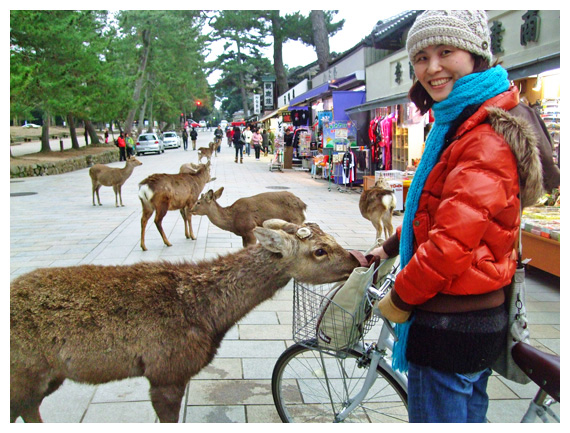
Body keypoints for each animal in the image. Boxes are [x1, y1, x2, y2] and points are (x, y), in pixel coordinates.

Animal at [10, 219, 360, 422]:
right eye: (319, 250)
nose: (358, 259)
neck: (209, 317)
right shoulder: (166, 371)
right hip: (24, 374)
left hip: (48, 378)